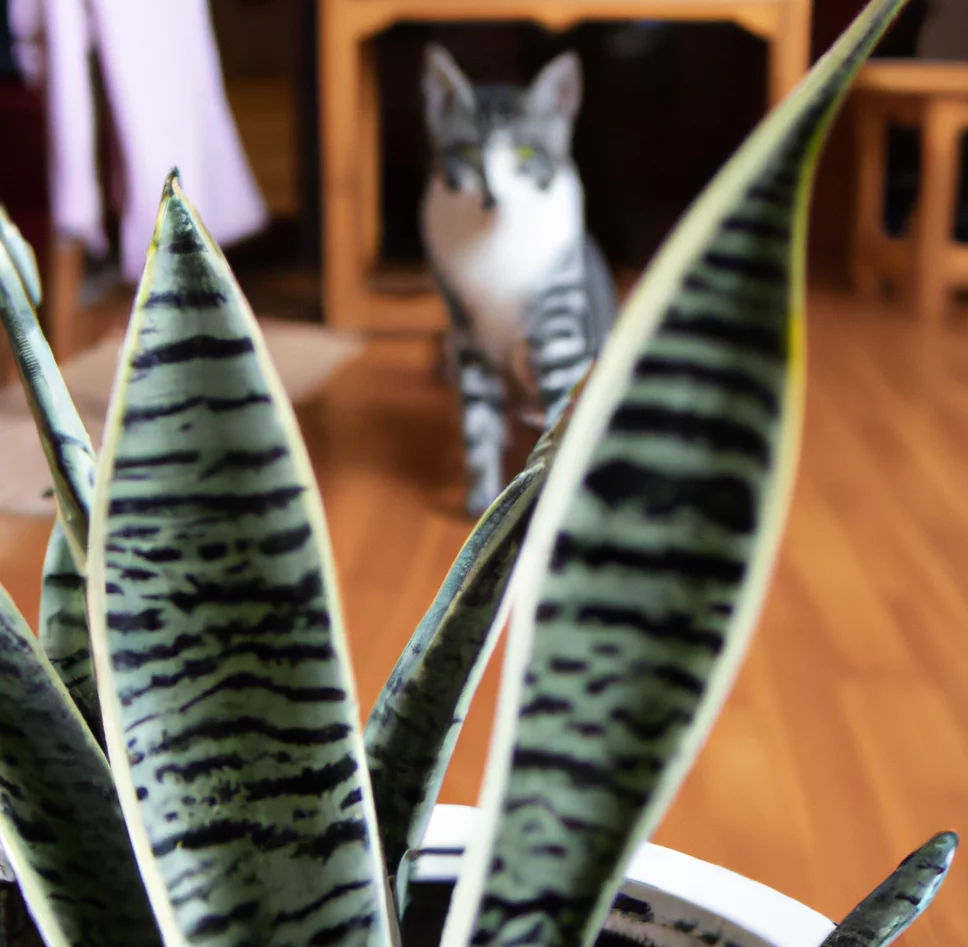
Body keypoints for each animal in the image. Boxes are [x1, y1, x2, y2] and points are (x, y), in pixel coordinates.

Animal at [418, 44, 616, 520]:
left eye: (525, 153)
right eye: (467, 151)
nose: (494, 198)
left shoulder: (559, 321)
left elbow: (562, 404)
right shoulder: (466, 331)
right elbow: (477, 425)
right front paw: (481, 497)